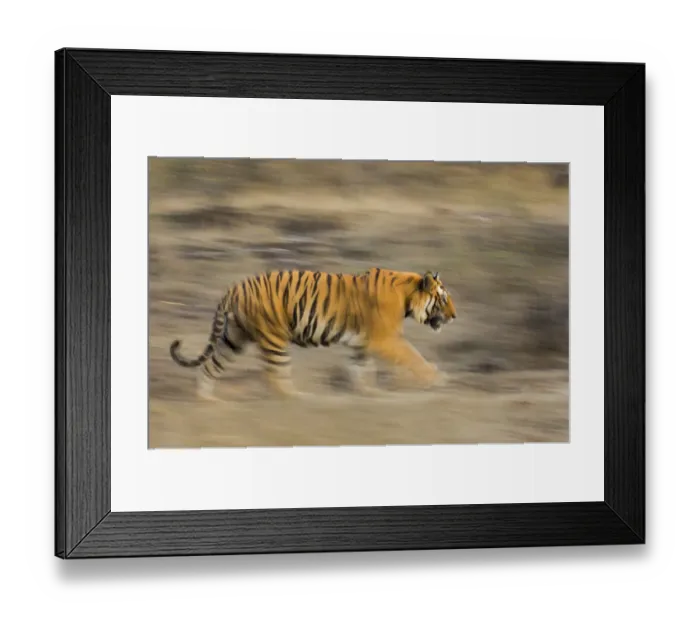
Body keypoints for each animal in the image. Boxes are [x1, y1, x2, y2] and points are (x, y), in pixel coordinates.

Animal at [169, 267, 457, 401]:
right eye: (443, 299)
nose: (455, 316)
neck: (408, 297)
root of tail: (236, 287)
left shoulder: (363, 343)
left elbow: (361, 369)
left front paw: (370, 393)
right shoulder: (385, 340)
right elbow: (414, 358)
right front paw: (438, 378)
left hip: (235, 338)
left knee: (211, 366)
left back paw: (208, 400)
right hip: (274, 338)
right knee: (275, 376)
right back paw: (301, 399)